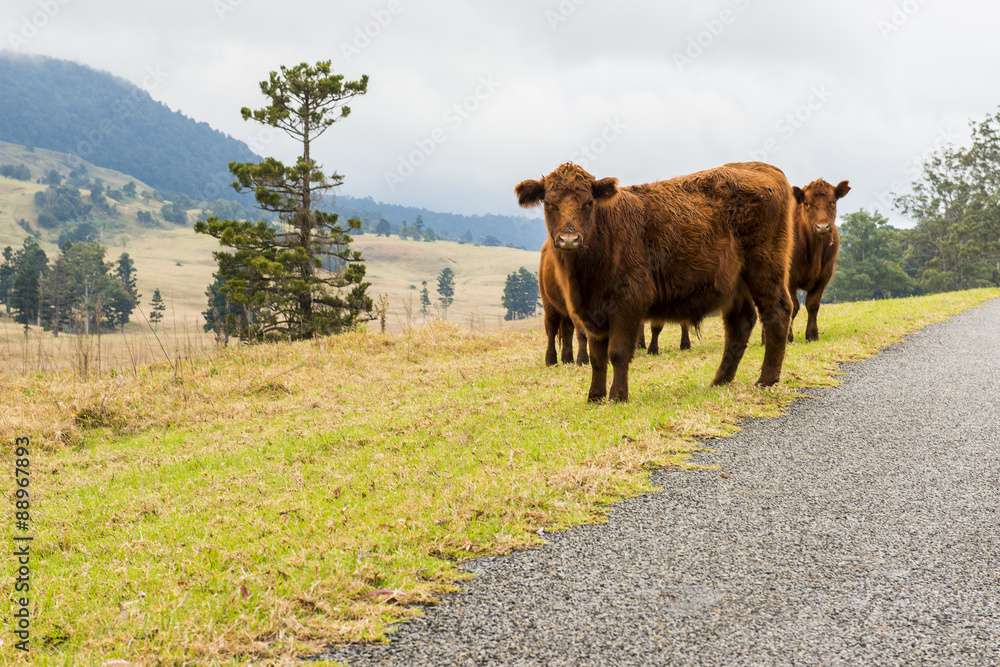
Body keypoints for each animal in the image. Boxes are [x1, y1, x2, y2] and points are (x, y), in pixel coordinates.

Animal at [784, 177, 848, 342]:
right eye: (806, 203)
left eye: (833, 201)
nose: (823, 227)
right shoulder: (789, 277)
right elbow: (793, 305)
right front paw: (788, 337)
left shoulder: (824, 274)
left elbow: (813, 304)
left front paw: (812, 335)